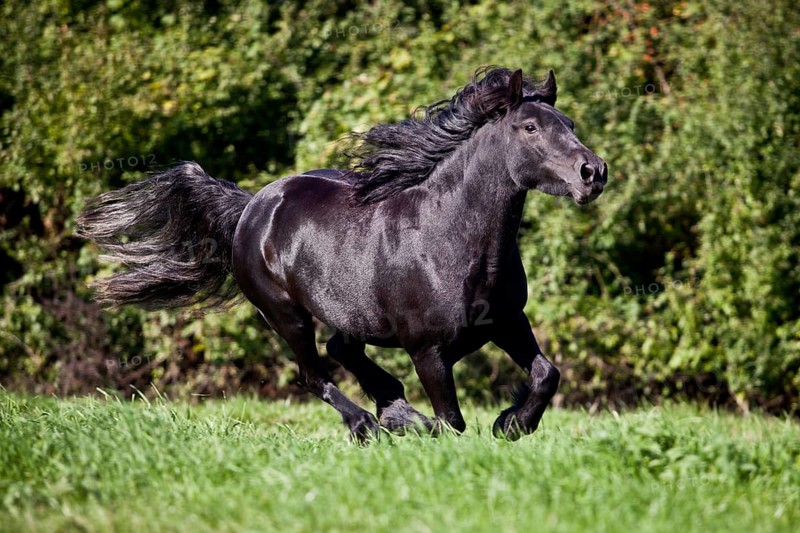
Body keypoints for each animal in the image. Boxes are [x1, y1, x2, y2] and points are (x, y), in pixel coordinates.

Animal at [78, 67, 608, 441]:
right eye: (530, 127)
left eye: (570, 123)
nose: (593, 172)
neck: (453, 241)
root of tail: (251, 206)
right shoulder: (428, 351)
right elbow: (450, 422)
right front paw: (424, 423)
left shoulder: (507, 322)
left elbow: (546, 373)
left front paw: (512, 423)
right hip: (286, 315)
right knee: (313, 375)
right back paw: (374, 423)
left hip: (348, 312)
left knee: (341, 350)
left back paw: (392, 408)